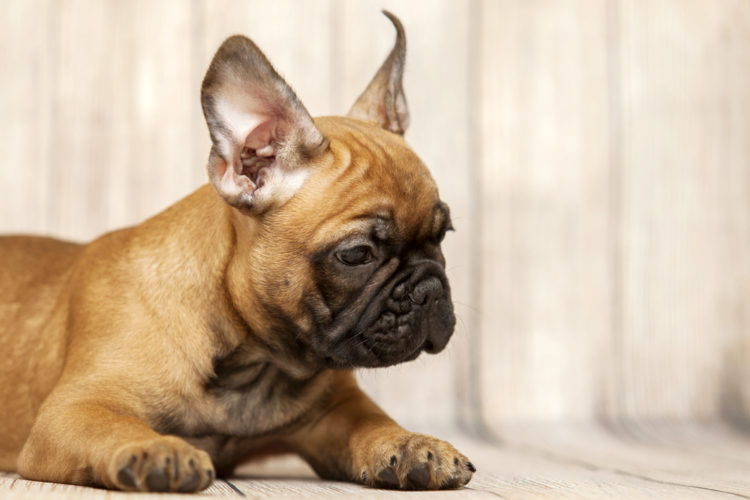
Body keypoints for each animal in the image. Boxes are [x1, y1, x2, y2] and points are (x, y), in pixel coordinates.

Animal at [0, 10, 476, 492]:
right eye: (357, 255)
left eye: (444, 234)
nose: (430, 290)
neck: (255, 360)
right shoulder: (74, 411)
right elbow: (116, 427)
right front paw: (158, 449)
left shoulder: (336, 412)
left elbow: (373, 421)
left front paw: (414, 443)